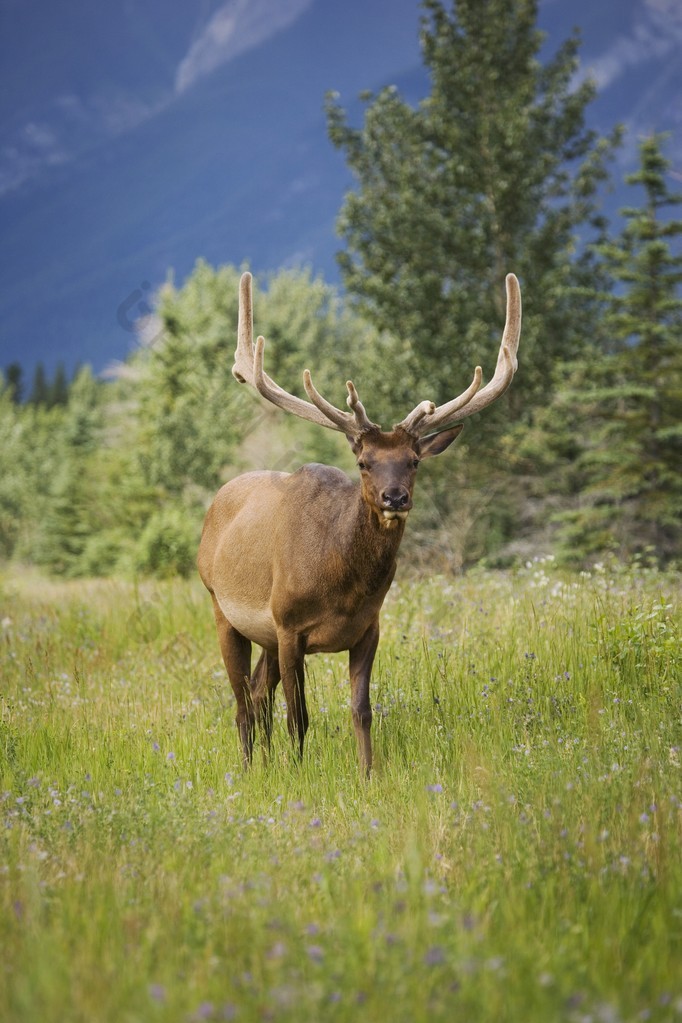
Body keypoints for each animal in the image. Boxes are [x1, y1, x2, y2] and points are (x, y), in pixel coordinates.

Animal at [197, 272, 523, 773]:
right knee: (242, 703)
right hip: (223, 608)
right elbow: (299, 716)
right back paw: (252, 769)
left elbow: (362, 710)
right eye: (365, 462)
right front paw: (299, 774)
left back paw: (265, 765)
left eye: (413, 461)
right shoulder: (289, 626)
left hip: (263, 633)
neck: (342, 586)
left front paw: (367, 773)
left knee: (256, 693)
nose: (395, 497)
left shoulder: (369, 627)